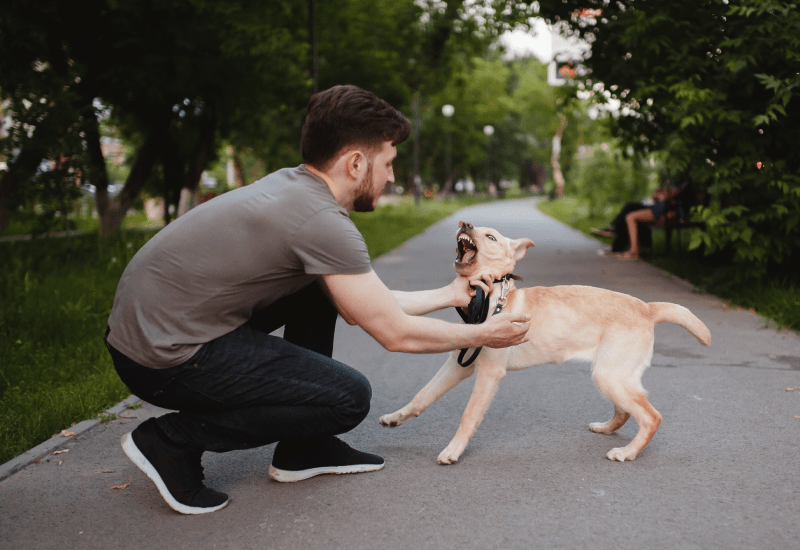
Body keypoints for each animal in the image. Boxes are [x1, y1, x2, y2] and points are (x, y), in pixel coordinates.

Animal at [382, 222, 712, 464]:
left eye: (490, 236)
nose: (466, 223)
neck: (488, 296)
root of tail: (647, 307)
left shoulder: (489, 372)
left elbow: (469, 414)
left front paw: (453, 450)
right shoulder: (459, 364)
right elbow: (422, 396)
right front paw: (395, 417)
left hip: (610, 376)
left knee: (651, 417)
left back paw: (627, 452)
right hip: (614, 376)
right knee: (626, 411)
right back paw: (606, 429)